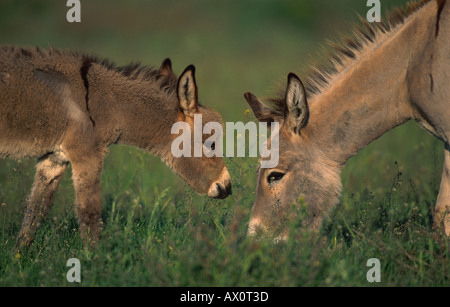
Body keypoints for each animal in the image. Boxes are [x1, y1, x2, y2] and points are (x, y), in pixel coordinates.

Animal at [0, 47, 232, 249]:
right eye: (211, 143)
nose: (227, 187)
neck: (101, 102)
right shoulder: (87, 155)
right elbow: (89, 211)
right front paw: (94, 260)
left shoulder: (54, 158)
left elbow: (36, 209)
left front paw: (18, 257)